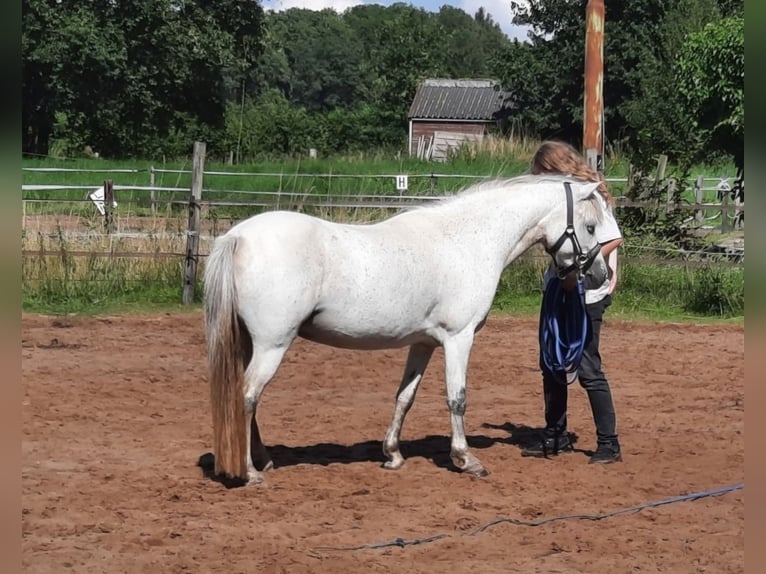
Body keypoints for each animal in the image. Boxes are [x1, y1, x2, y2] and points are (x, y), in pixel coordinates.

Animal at [206, 174, 612, 486]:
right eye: (591, 226)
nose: (599, 275)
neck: (466, 241)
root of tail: (237, 237)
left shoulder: (424, 344)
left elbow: (405, 397)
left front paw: (393, 455)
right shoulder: (459, 338)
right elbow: (457, 398)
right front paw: (466, 460)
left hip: (251, 343)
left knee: (249, 399)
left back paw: (263, 460)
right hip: (272, 344)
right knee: (247, 395)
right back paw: (250, 472)